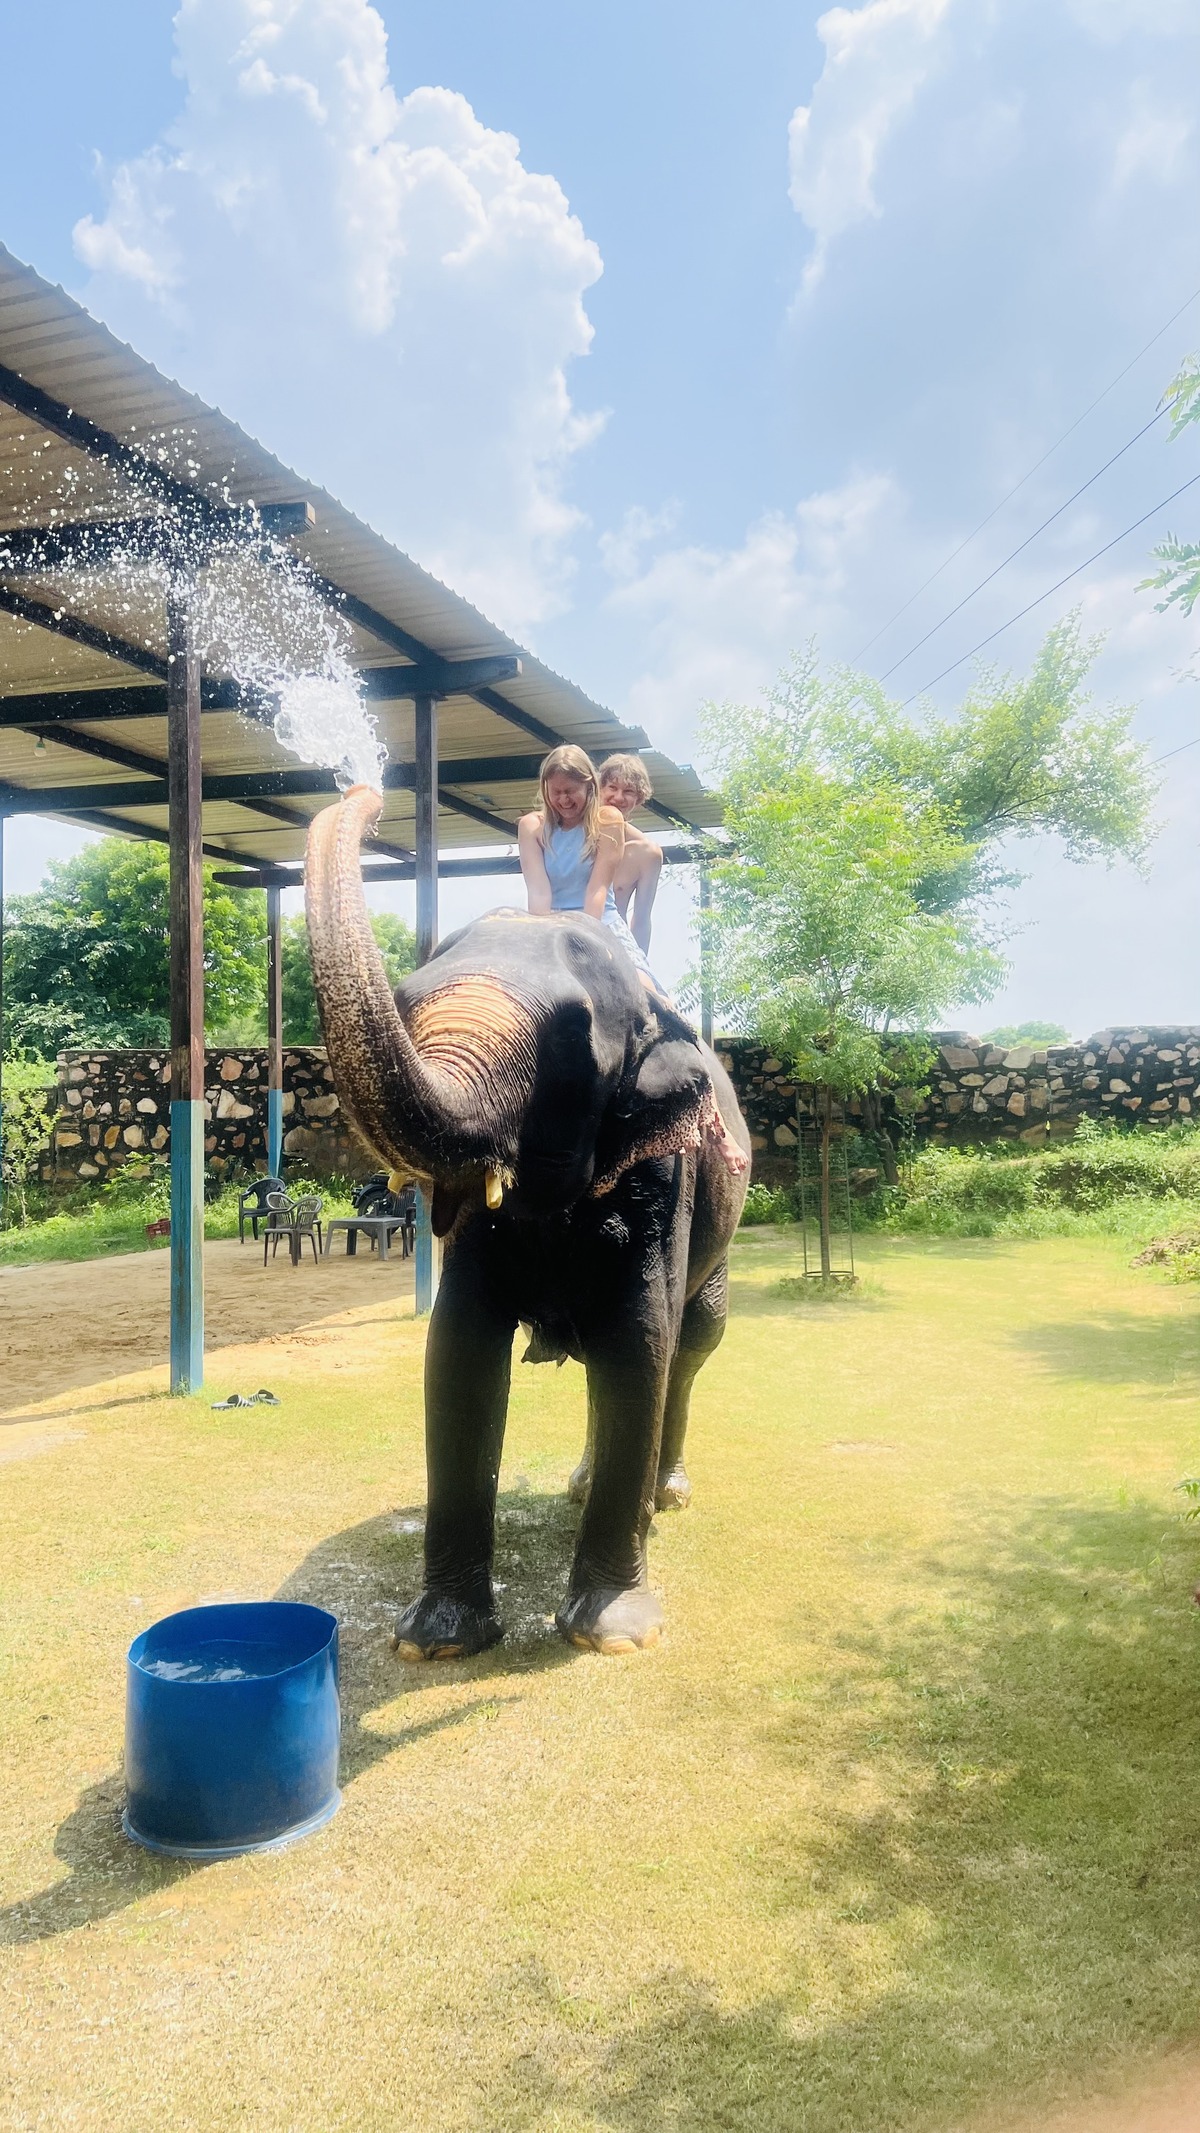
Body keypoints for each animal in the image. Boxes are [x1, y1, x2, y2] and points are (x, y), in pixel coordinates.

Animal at [305, 787, 751, 1658]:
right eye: (407, 1002)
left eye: (571, 1037)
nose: (364, 794)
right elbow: (458, 1352)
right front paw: (435, 1640)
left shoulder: (665, 1172)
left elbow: (641, 1339)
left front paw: (613, 1635)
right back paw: (583, 1486)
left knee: (687, 1346)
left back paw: (665, 1494)